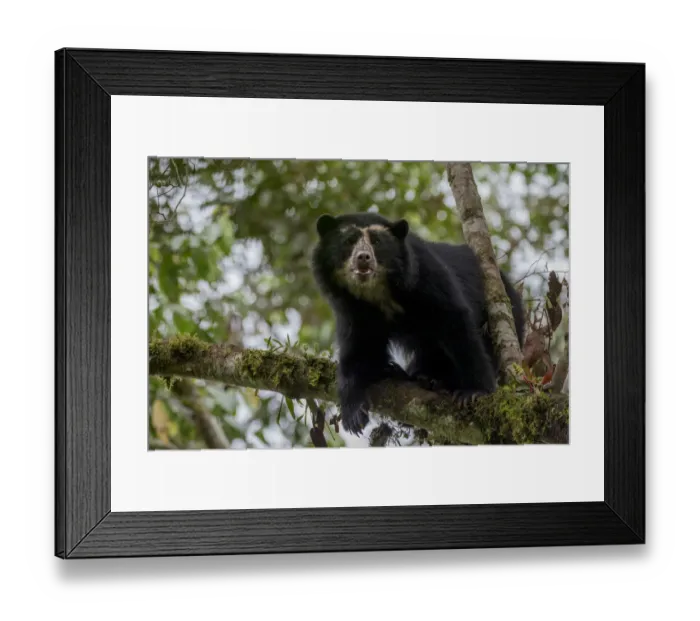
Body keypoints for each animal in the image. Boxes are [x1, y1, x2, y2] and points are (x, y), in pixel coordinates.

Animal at [310, 211, 526, 436]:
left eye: (377, 242)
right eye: (349, 241)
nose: (363, 258)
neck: (378, 292)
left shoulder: (425, 276)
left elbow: (455, 324)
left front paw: (473, 392)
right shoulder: (352, 309)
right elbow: (358, 348)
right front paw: (354, 415)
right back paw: (405, 373)